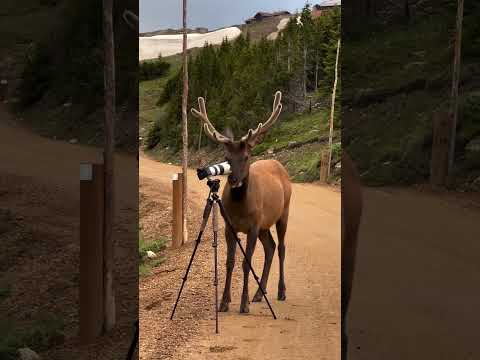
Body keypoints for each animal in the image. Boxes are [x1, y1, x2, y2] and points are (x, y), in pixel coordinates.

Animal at [192, 90, 292, 312]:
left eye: (245, 156)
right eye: (226, 157)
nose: (233, 180)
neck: (240, 208)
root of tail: (279, 165)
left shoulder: (253, 225)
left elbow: (247, 263)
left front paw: (243, 304)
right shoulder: (230, 226)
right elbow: (230, 262)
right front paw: (224, 302)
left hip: (283, 212)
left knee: (281, 248)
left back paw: (281, 292)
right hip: (264, 225)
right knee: (271, 247)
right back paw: (259, 293)